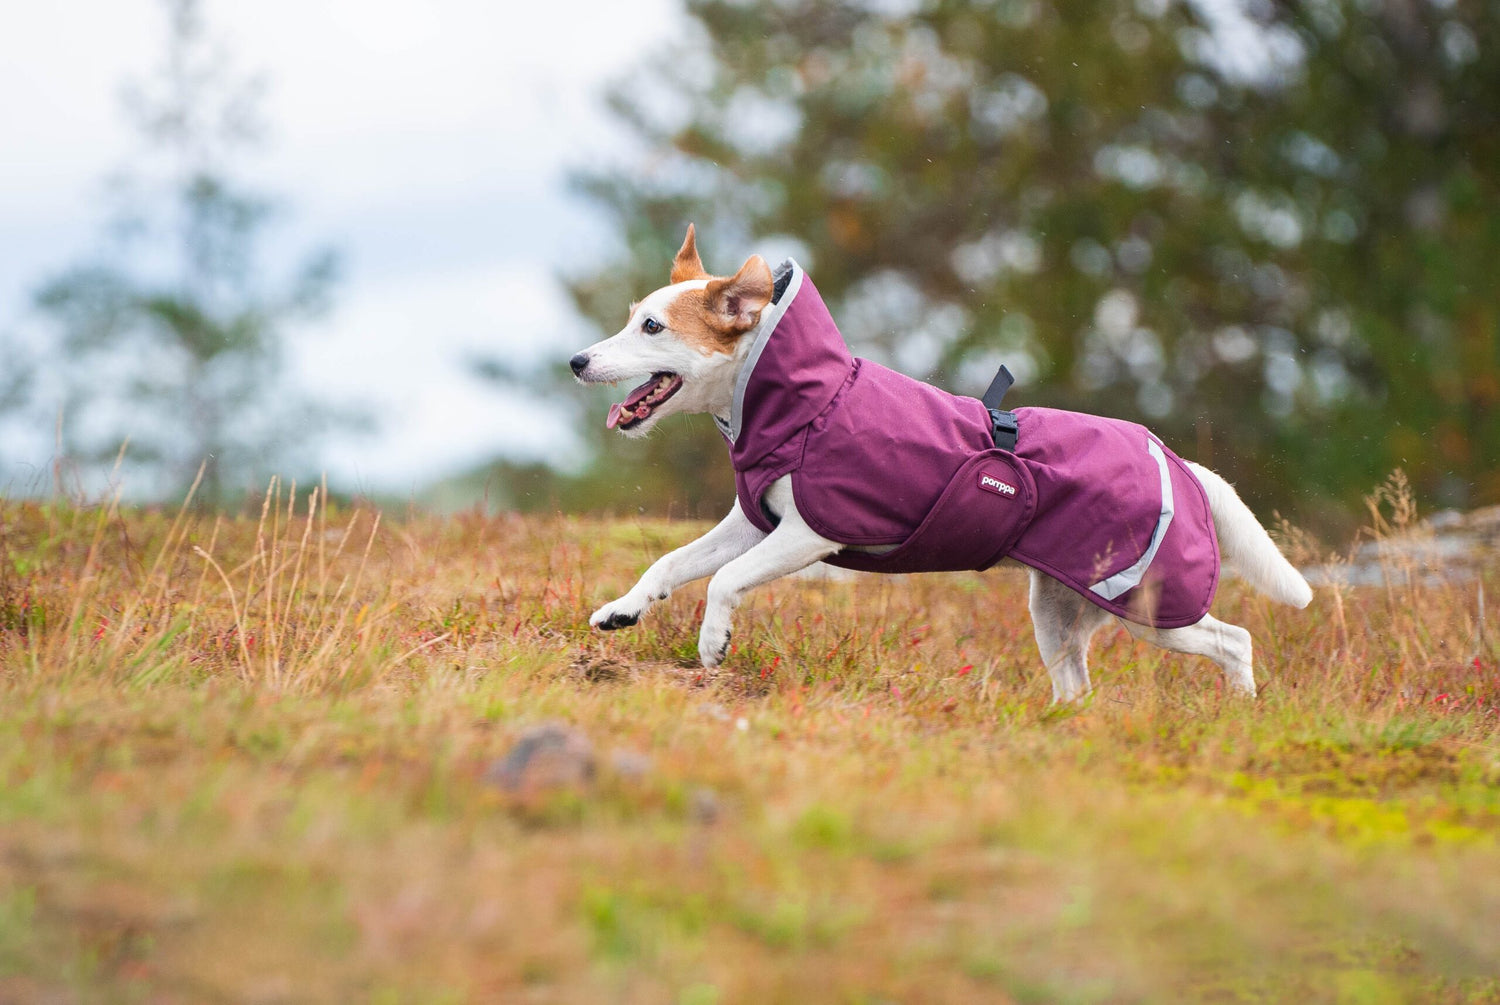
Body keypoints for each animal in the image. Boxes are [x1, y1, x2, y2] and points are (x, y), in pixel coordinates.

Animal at [567, 226, 1308, 702]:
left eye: (652, 328)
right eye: (631, 317)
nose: (575, 360)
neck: (805, 401)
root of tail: (1180, 461)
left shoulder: (810, 533)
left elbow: (724, 580)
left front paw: (714, 641)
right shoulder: (752, 523)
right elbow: (671, 563)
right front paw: (624, 609)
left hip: (1150, 607)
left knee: (1236, 640)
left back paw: (1240, 714)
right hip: (1060, 611)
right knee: (1078, 685)